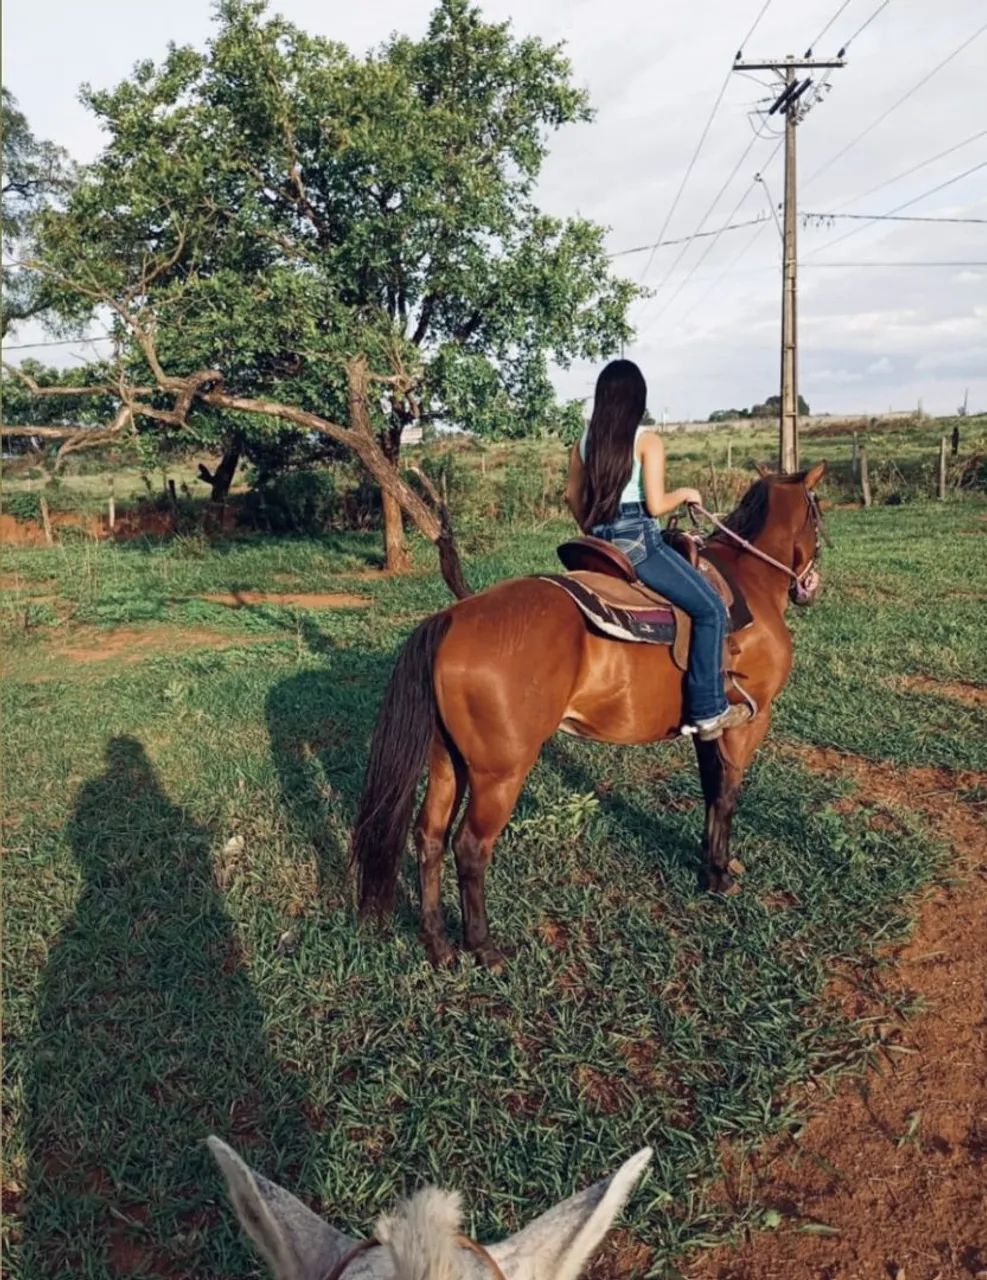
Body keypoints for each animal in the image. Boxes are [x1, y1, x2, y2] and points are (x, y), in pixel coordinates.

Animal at [351, 464, 827, 968]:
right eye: (818, 514)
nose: (809, 587)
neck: (750, 581)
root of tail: (450, 618)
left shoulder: (708, 727)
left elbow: (711, 791)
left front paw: (709, 864)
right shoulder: (751, 721)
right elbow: (728, 794)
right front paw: (719, 875)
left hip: (447, 762)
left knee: (430, 837)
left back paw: (439, 944)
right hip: (500, 774)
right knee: (470, 847)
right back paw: (483, 946)